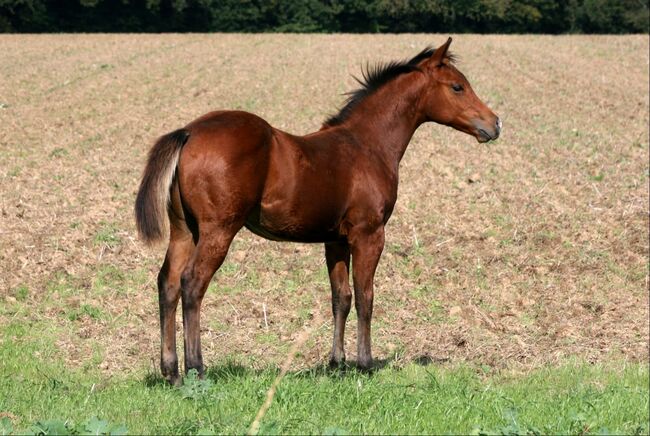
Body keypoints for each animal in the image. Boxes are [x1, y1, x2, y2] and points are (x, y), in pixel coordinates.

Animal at [135, 37, 502, 384]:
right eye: (457, 86)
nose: (495, 124)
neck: (367, 145)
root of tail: (189, 132)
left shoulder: (335, 240)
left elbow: (341, 297)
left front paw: (337, 364)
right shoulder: (369, 234)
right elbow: (366, 296)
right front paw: (365, 364)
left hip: (185, 231)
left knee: (167, 283)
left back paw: (172, 372)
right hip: (218, 230)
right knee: (192, 283)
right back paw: (197, 369)